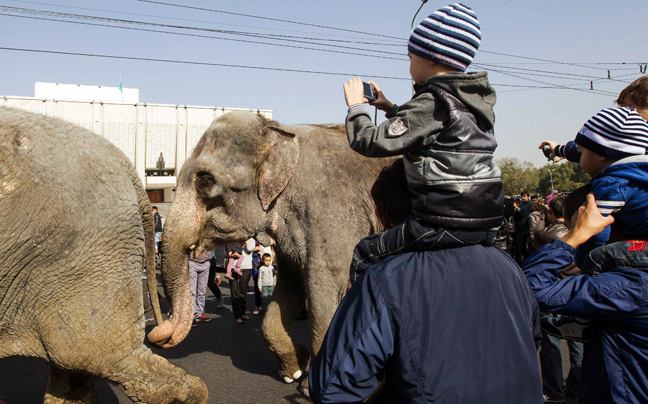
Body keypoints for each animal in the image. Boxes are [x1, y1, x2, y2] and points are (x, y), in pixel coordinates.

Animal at [161, 110, 390, 392]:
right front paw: (294, 370)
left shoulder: (334, 215)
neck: (280, 132)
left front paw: (310, 388)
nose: (161, 335)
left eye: (206, 181)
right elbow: (289, 288)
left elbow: (324, 290)